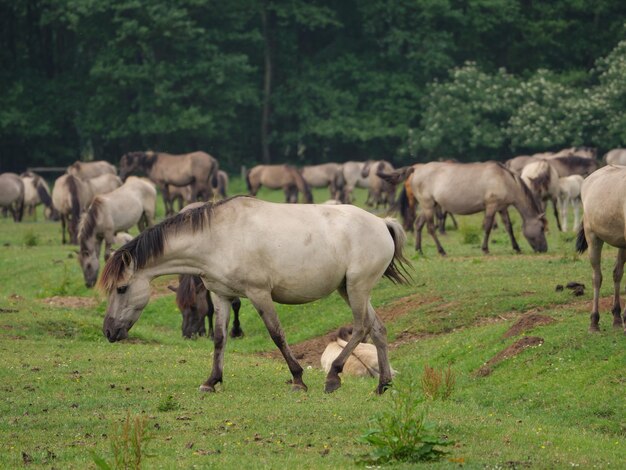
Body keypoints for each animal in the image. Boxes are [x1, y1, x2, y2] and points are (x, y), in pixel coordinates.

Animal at [97, 196, 410, 394]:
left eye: (122, 288)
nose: (109, 331)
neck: (218, 237)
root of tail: (382, 223)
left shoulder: (259, 294)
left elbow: (277, 334)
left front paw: (298, 379)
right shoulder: (221, 296)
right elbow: (219, 339)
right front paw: (211, 381)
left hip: (357, 288)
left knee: (361, 327)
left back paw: (334, 376)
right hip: (349, 289)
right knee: (378, 329)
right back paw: (382, 385)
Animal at [408, 162, 544, 258]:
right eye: (542, 228)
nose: (544, 248)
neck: (504, 179)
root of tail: (416, 170)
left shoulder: (502, 208)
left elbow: (508, 227)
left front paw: (516, 248)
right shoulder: (491, 206)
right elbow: (488, 226)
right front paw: (485, 249)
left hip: (429, 206)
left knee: (418, 224)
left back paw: (419, 250)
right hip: (428, 206)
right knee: (430, 228)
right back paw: (441, 251)